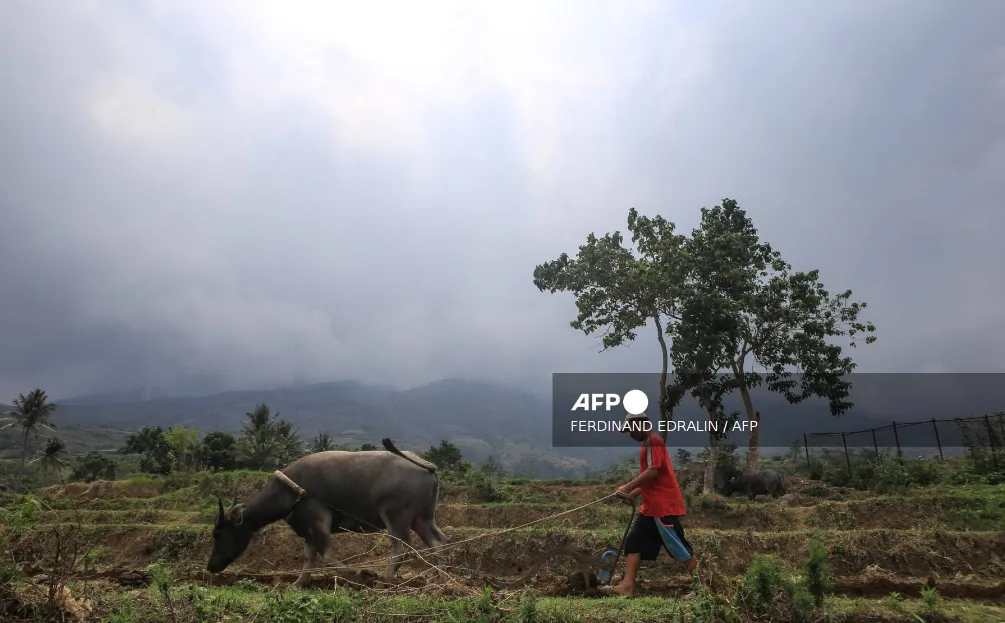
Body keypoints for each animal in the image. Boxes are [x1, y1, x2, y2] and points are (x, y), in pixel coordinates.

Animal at [206, 436, 446, 586]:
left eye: (218, 534)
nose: (210, 566)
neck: (292, 492)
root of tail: (427, 466)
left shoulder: (318, 522)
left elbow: (328, 554)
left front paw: (356, 578)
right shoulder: (307, 530)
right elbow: (309, 557)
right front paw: (298, 583)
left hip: (396, 517)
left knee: (401, 548)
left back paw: (384, 583)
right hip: (422, 518)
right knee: (437, 542)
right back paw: (442, 580)